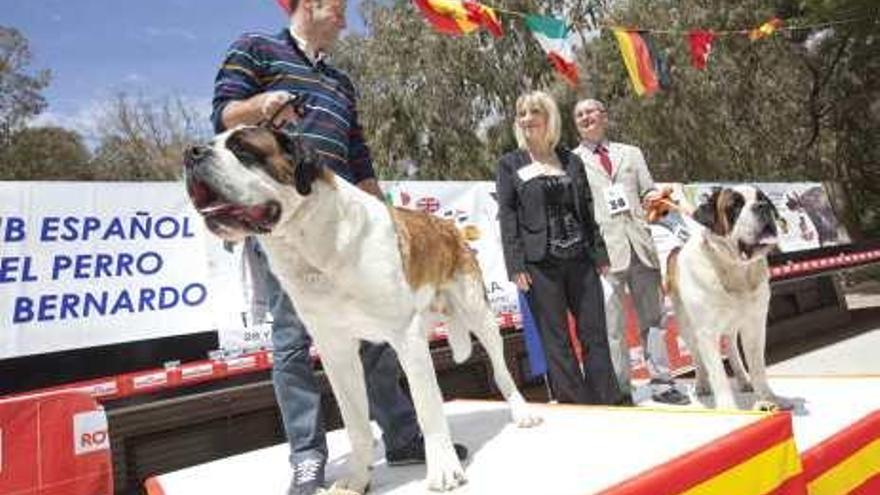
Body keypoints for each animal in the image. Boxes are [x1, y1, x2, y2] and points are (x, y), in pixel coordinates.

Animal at [182, 126, 540, 494]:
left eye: (243, 150)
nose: (192, 153)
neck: (313, 244)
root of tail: (448, 226)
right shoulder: (335, 351)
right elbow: (356, 423)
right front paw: (357, 479)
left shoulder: (407, 338)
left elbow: (427, 407)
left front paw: (443, 469)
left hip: (478, 312)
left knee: (499, 367)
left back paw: (521, 411)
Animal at [668, 186, 784, 410]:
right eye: (735, 206)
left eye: (762, 199)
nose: (762, 206)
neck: (735, 271)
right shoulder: (706, 332)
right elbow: (718, 374)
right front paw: (729, 409)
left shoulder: (755, 325)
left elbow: (757, 366)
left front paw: (767, 398)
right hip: (686, 326)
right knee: (696, 356)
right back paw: (702, 384)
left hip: (731, 327)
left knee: (731, 349)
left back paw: (743, 379)